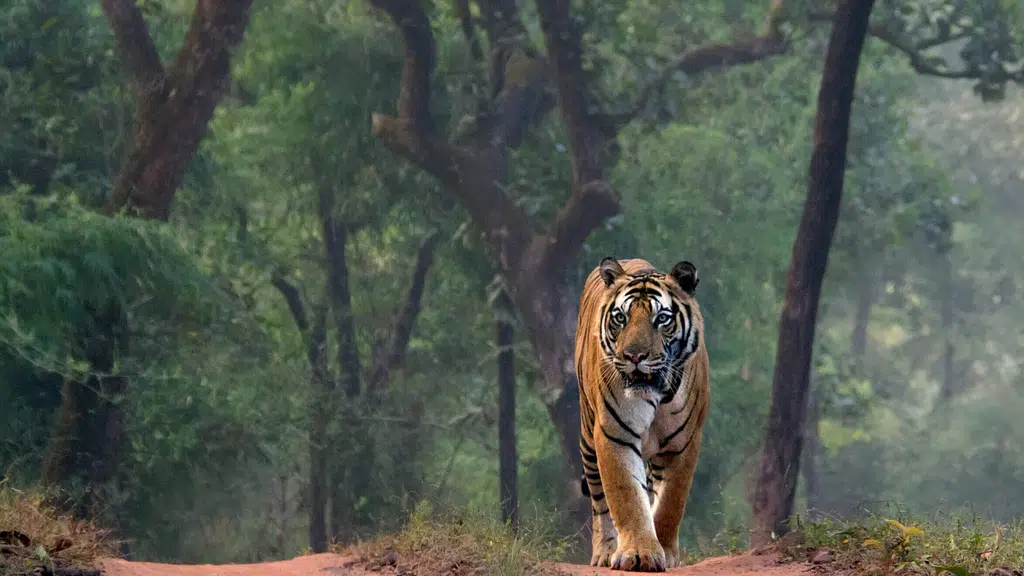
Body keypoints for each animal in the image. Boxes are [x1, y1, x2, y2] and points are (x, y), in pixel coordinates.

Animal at [575, 257, 709, 572]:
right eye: (620, 318)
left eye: (661, 319)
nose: (634, 356)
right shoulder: (615, 435)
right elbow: (627, 497)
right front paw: (638, 554)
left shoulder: (683, 444)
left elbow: (670, 502)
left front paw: (665, 553)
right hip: (588, 437)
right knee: (600, 502)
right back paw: (605, 551)